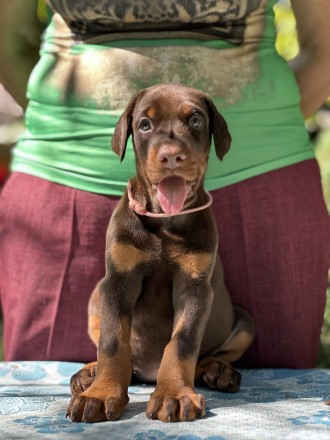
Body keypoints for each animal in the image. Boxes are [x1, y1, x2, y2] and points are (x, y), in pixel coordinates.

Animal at [66, 82, 253, 422]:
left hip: (245, 322)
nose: (171, 157)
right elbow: (112, 342)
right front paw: (100, 393)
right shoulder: (119, 281)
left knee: (208, 354)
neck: (165, 221)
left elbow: (183, 342)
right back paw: (90, 373)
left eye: (195, 120)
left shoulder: (195, 287)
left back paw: (217, 370)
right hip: (96, 296)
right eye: (144, 124)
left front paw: (175, 395)